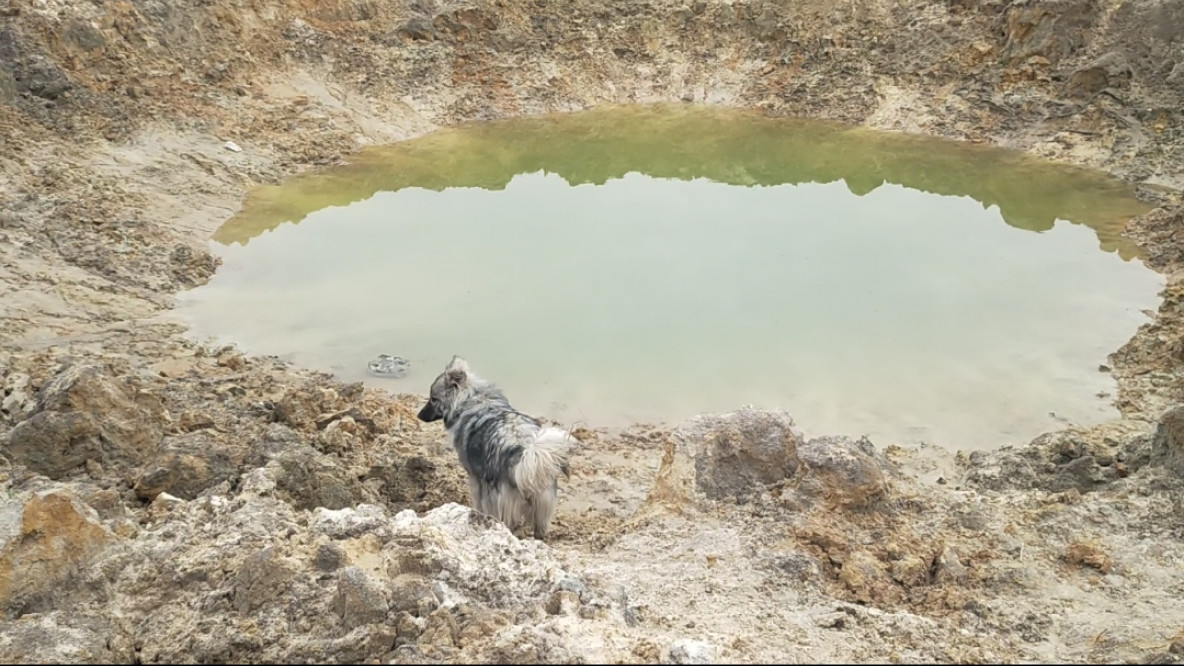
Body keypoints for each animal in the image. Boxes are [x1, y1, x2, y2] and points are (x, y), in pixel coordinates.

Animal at [416, 355, 577, 535]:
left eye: (433, 399)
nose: (418, 415)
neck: (471, 398)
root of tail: (523, 453)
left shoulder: (475, 478)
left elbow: (478, 502)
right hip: (542, 506)